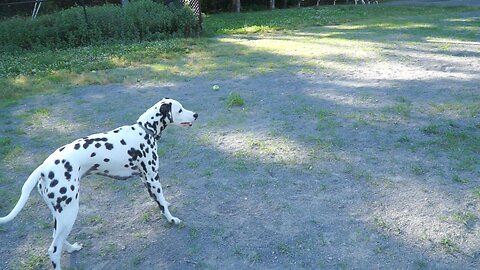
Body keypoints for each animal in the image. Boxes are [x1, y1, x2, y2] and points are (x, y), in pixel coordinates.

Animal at [0, 98, 198, 268]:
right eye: (180, 110)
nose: (196, 114)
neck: (144, 130)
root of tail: (43, 168)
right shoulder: (152, 178)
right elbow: (162, 203)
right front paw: (171, 219)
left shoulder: (145, 179)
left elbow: (159, 201)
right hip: (69, 212)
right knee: (53, 250)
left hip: (60, 214)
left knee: (57, 238)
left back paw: (72, 248)